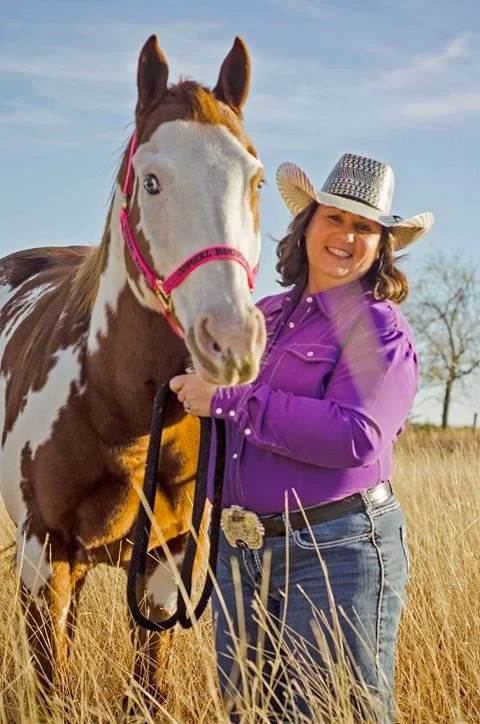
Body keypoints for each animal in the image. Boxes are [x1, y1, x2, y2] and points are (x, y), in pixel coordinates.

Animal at [0, 34, 266, 706]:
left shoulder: (166, 564)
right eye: (151, 181)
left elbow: (149, 688)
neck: (118, 407)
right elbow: (53, 691)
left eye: (255, 180)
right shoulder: (42, 558)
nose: (231, 339)